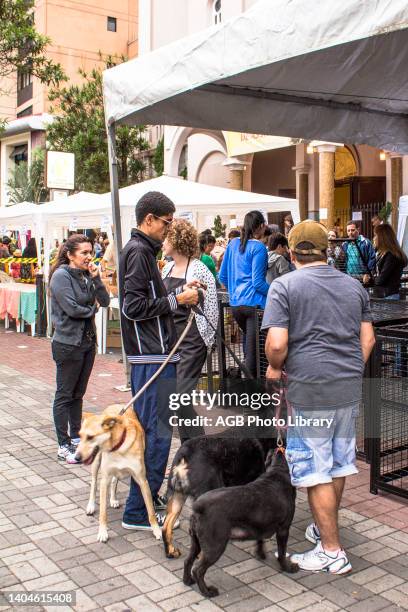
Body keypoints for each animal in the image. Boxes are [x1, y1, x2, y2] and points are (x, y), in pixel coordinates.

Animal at [76, 404, 161, 544]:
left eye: (90, 437)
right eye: (80, 436)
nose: (76, 457)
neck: (119, 445)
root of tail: (116, 405)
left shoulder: (142, 480)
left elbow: (150, 510)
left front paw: (157, 530)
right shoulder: (104, 479)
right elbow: (103, 512)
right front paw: (102, 532)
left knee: (114, 481)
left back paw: (113, 499)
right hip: (96, 463)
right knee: (94, 484)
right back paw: (91, 505)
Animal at [182, 450, 296, 596]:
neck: (277, 472)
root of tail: (199, 507)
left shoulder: (259, 526)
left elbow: (260, 541)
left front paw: (260, 554)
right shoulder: (283, 529)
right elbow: (282, 553)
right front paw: (287, 567)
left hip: (196, 543)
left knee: (188, 561)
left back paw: (187, 581)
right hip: (215, 547)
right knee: (198, 570)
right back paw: (207, 592)